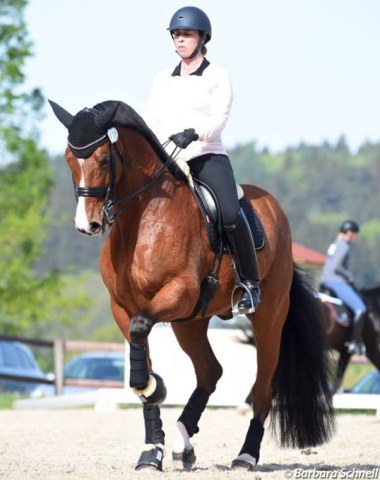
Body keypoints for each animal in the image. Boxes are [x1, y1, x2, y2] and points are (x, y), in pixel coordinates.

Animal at [49, 99, 334, 470]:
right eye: (69, 158)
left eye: (104, 160)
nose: (88, 225)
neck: (141, 221)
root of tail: (273, 207)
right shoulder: (122, 308)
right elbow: (141, 351)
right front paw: (151, 445)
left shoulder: (178, 292)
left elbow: (142, 332)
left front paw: (152, 388)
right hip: (191, 323)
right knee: (210, 372)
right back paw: (183, 444)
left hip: (268, 317)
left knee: (262, 388)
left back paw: (246, 455)